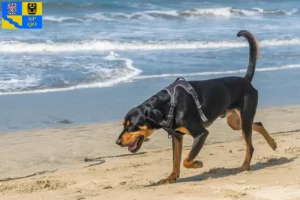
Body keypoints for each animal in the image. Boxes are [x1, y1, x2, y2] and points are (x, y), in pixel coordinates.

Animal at [115, 30, 276, 185]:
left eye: (132, 125)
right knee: (258, 124)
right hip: (235, 122)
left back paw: (244, 166)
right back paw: (272, 143)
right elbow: (176, 161)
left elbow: (186, 160)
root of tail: (245, 81)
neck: (168, 105)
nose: (117, 142)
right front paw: (171, 178)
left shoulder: (201, 133)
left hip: (244, 119)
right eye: (124, 125)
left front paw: (197, 164)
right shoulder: (177, 136)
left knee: (250, 146)